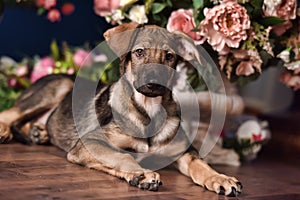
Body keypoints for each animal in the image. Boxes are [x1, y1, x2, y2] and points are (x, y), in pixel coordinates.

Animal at [0, 22, 243, 196]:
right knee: (10, 113)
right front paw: (142, 174)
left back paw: (38, 132)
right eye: (139, 52)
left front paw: (220, 178)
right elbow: (122, 156)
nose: (153, 83)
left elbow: (200, 164)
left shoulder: (183, 151)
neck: (148, 111)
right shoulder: (90, 142)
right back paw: (6, 130)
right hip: (59, 88)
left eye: (170, 56)